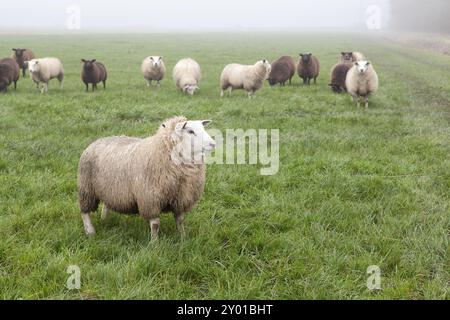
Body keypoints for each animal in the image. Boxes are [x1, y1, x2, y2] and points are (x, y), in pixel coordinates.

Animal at [77, 115, 216, 240]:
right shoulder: (150, 198)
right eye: (190, 131)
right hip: (86, 188)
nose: (213, 143)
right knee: (84, 212)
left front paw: (183, 239)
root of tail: (97, 141)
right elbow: (155, 225)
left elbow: (180, 221)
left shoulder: (181, 198)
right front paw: (154, 244)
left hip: (108, 187)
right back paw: (90, 231)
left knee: (106, 203)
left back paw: (104, 219)